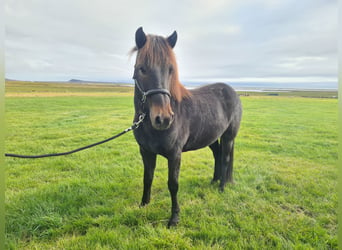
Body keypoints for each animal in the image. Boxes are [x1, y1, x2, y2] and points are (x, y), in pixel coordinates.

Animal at [131, 26, 243, 227]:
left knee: (225, 158)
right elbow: (147, 178)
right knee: (217, 154)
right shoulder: (146, 151)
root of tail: (232, 92)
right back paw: (214, 181)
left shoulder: (174, 154)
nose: (163, 118)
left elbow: (173, 184)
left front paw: (174, 218)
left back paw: (222, 187)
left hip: (229, 136)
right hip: (212, 137)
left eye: (170, 69)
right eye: (141, 69)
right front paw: (144, 204)